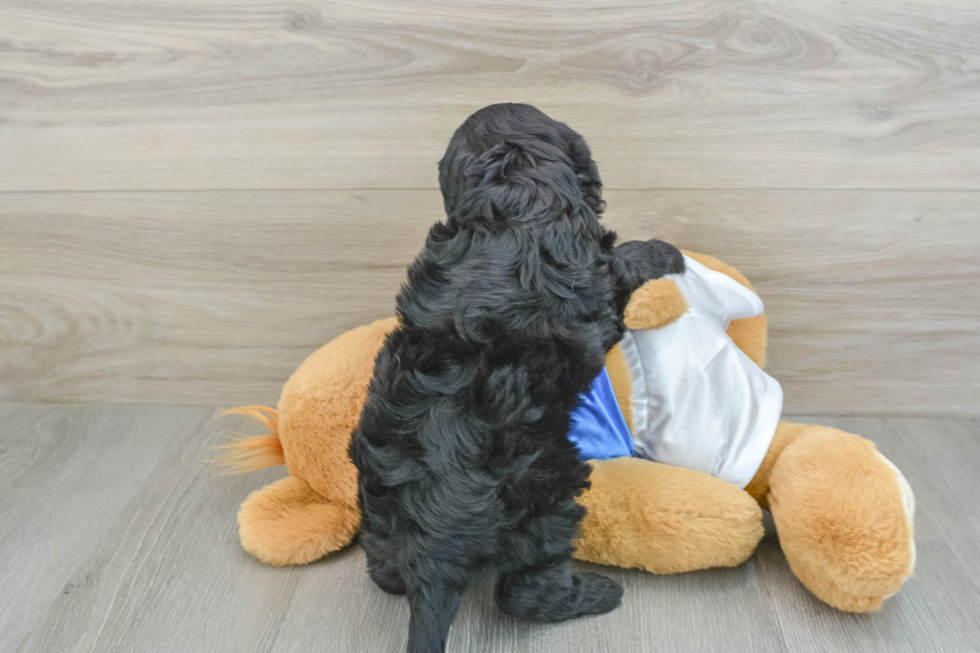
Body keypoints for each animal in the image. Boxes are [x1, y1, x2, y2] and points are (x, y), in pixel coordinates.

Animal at [350, 104, 680, 648]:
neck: (514, 196)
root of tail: (434, 541)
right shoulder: (601, 271)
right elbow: (628, 259)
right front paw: (666, 251)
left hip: (376, 498)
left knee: (384, 567)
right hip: (546, 497)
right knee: (526, 593)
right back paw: (596, 594)